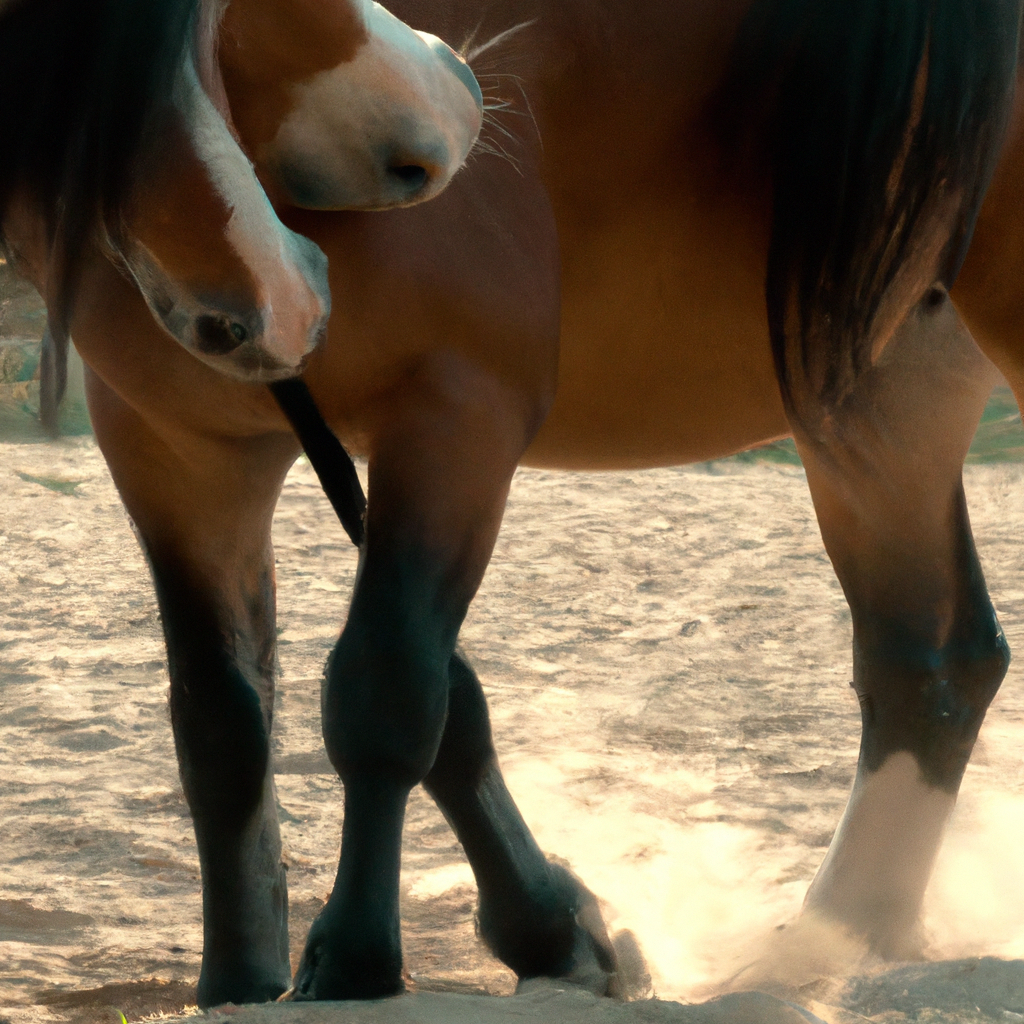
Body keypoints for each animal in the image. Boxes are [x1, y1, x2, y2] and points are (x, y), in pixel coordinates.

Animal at [36, 0, 1024, 1007]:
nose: (454, 99)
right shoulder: (173, 450)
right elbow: (228, 718)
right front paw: (240, 976)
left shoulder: (459, 415)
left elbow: (389, 689)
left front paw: (360, 956)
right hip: (881, 399)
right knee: (932, 661)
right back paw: (835, 943)